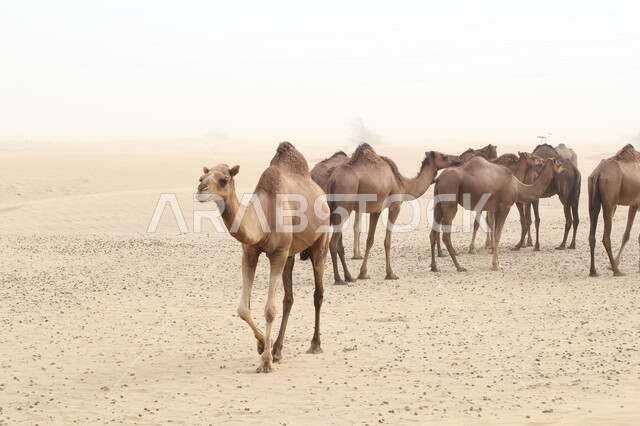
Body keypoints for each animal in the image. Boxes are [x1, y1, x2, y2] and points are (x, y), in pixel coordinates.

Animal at [196, 142, 329, 373]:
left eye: (224, 179)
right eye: (202, 177)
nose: (201, 189)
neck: (262, 217)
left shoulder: (278, 252)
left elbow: (269, 309)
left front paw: (265, 362)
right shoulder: (250, 251)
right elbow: (243, 309)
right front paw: (261, 346)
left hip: (320, 241)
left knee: (318, 293)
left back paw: (314, 345)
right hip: (291, 253)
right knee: (288, 299)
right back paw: (277, 350)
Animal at [328, 143, 461, 285]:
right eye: (444, 156)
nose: (458, 159)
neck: (402, 183)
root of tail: (333, 180)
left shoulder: (376, 210)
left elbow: (370, 240)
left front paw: (363, 273)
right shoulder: (395, 205)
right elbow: (387, 241)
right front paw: (390, 274)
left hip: (335, 209)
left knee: (338, 243)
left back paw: (349, 277)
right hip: (344, 205)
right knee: (333, 243)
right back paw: (339, 279)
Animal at [430, 156, 565, 272]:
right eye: (558, 163)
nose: (564, 167)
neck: (517, 186)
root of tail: (439, 179)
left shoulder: (495, 208)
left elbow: (494, 231)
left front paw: (497, 263)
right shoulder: (505, 205)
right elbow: (498, 234)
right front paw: (496, 265)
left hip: (438, 203)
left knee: (433, 233)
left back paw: (434, 267)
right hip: (449, 202)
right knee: (446, 235)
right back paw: (459, 267)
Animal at [588, 144, 640, 276]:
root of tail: (598, 173)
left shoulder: (634, 204)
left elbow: (626, 235)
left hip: (593, 197)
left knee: (592, 234)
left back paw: (593, 271)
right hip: (610, 200)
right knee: (606, 238)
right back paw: (616, 271)